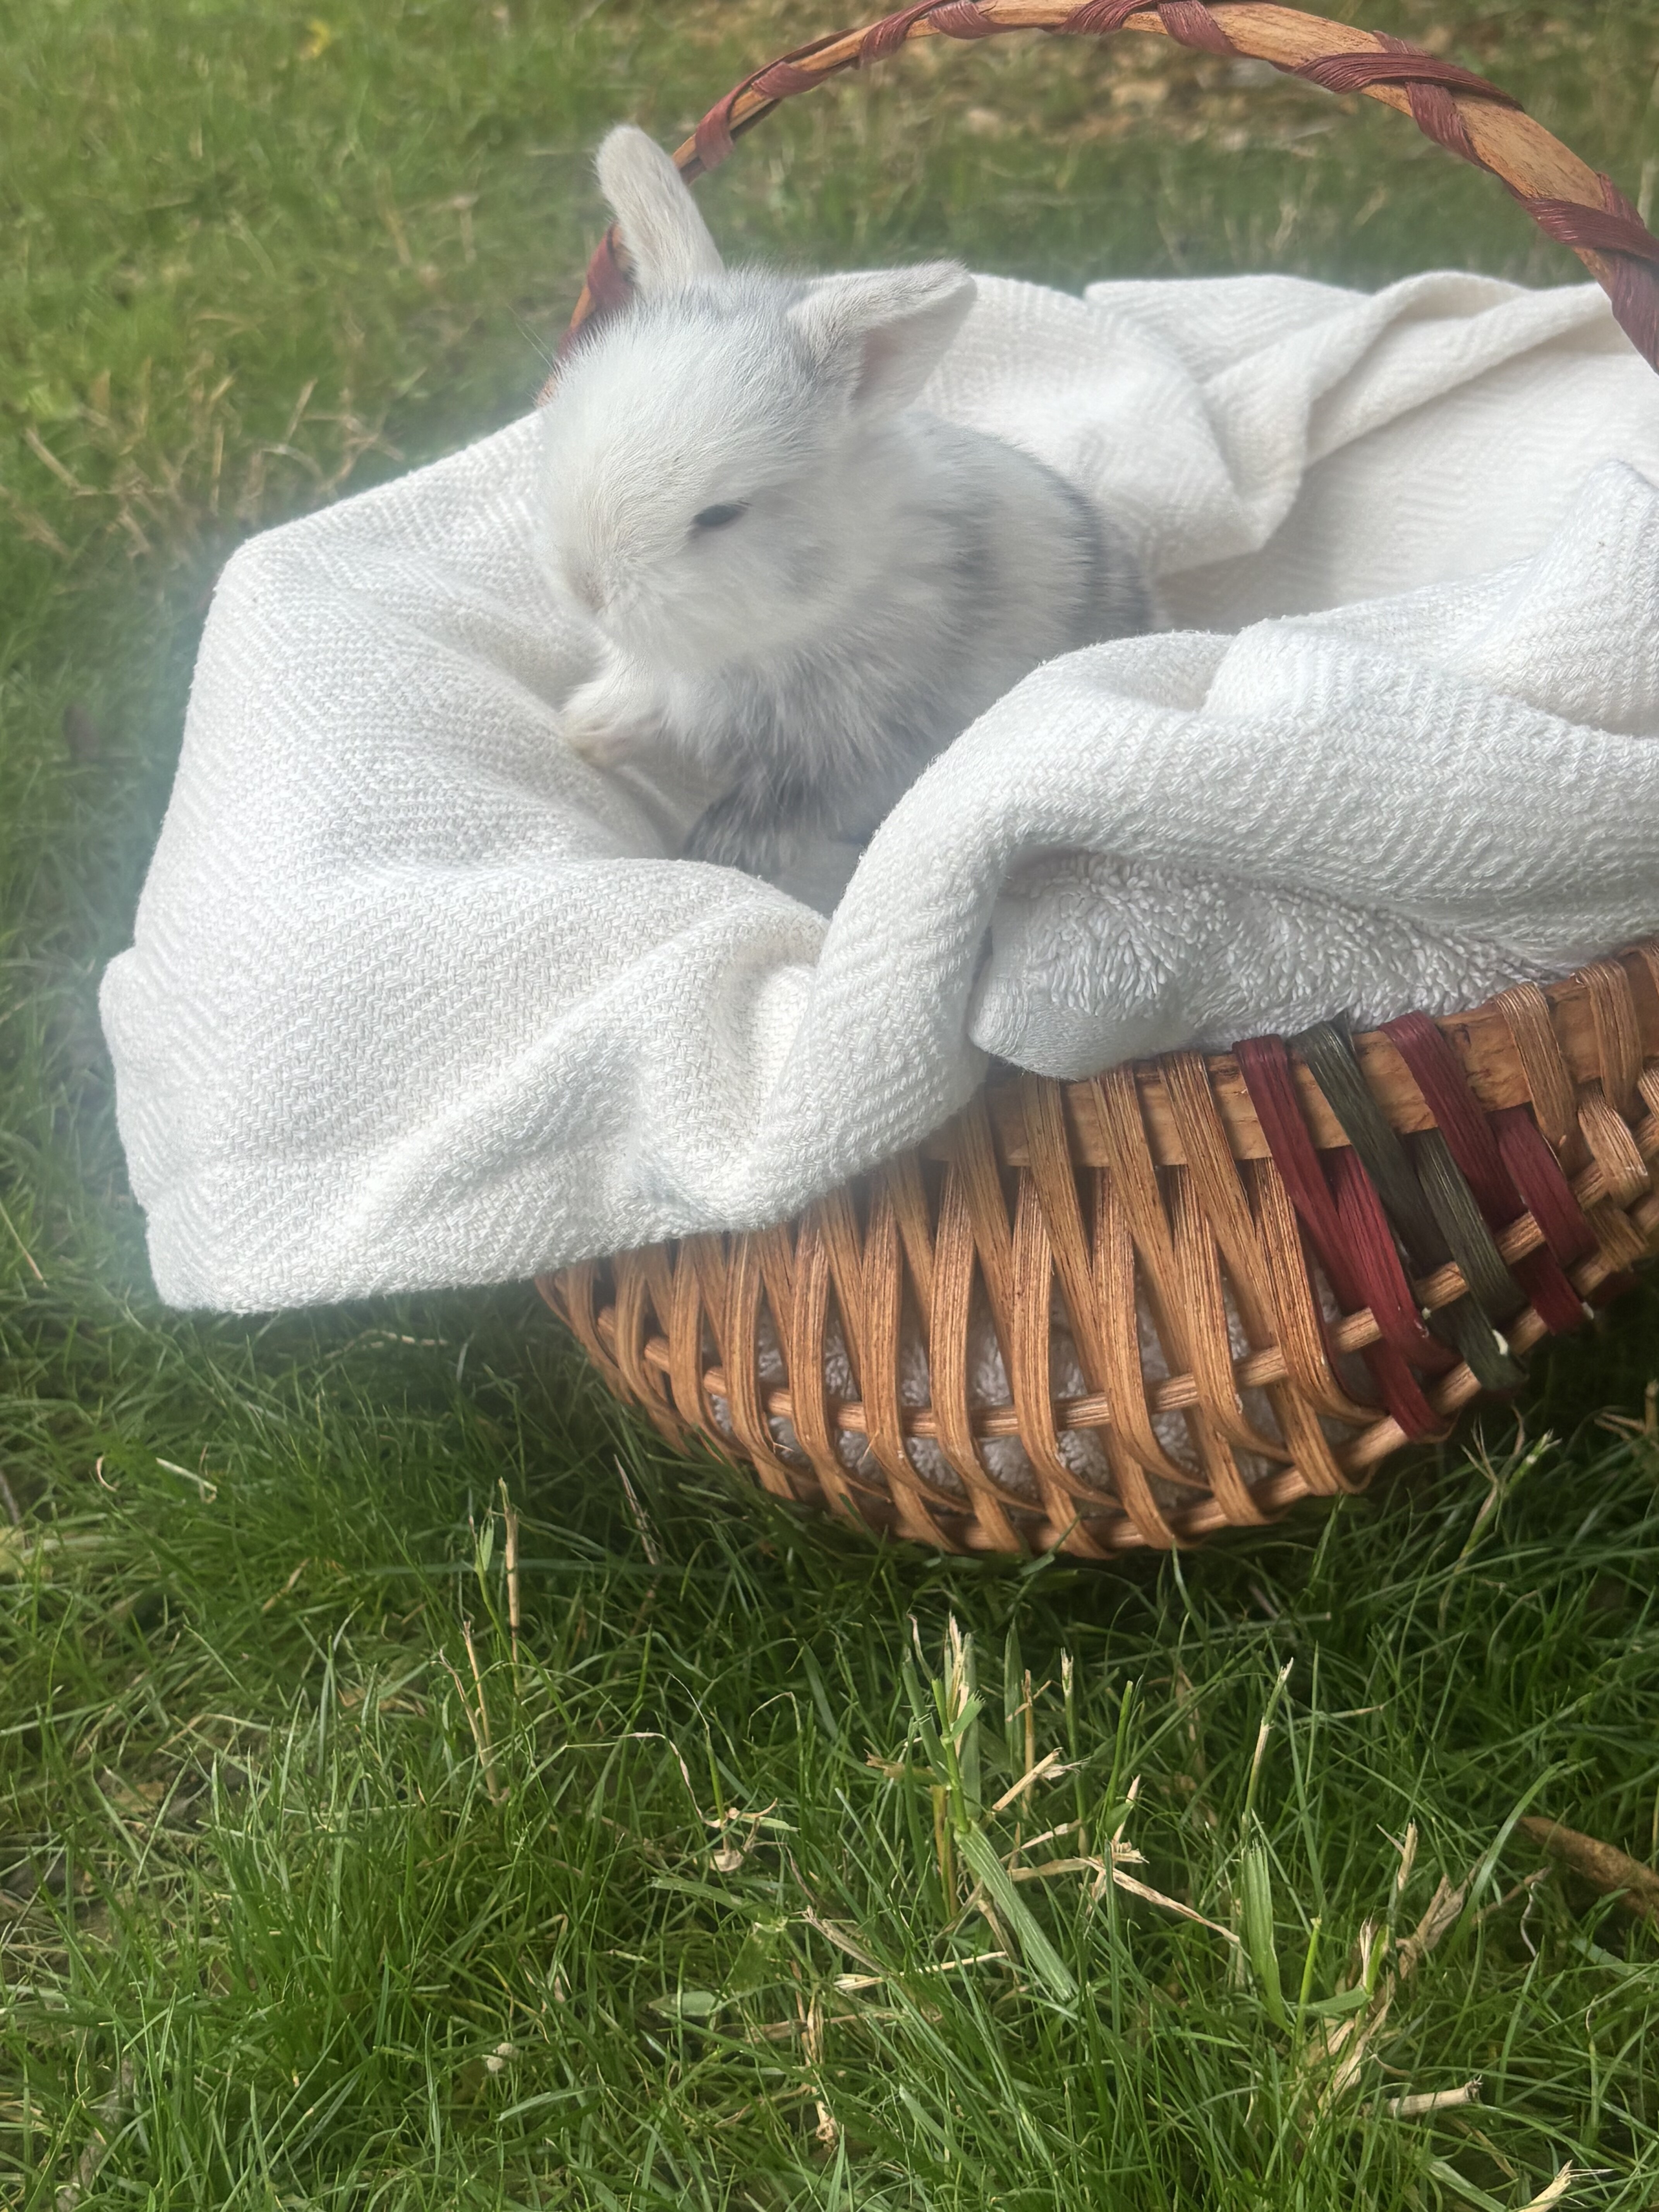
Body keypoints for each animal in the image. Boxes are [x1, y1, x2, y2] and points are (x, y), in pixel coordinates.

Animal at [540, 125, 1152, 881]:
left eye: (722, 514)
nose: (586, 589)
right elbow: (637, 696)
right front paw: (584, 732)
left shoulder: (846, 752)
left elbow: (769, 820)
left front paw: (721, 861)